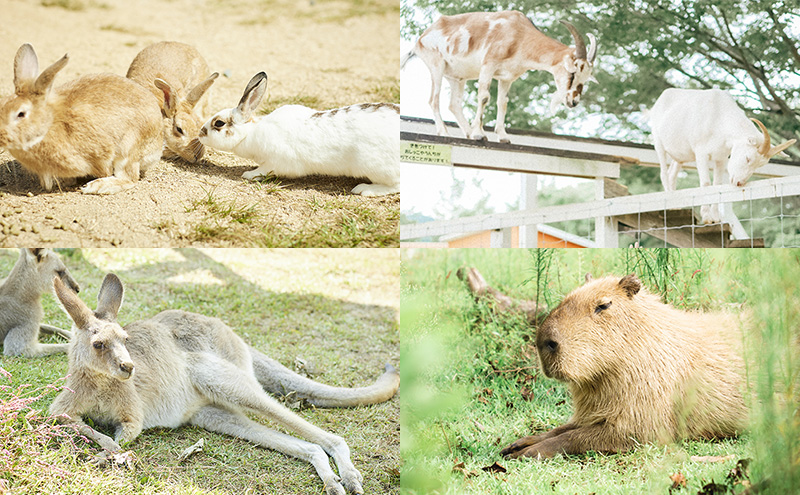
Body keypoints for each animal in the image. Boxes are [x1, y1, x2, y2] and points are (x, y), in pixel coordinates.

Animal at [0, 44, 162, 195]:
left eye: (21, 114)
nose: (1, 136)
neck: (49, 125)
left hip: (128, 148)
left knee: (129, 178)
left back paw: (98, 186)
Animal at [198, 72, 398, 197]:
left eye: (218, 123)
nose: (200, 133)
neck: (251, 133)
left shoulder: (277, 162)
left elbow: (264, 170)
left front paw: (249, 174)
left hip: (375, 167)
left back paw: (364, 189)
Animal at [404, 10, 596, 143]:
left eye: (586, 77)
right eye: (573, 72)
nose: (573, 101)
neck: (519, 34)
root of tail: (420, 40)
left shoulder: (506, 78)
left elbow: (502, 103)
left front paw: (503, 136)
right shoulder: (488, 66)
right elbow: (484, 97)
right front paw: (479, 134)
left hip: (457, 78)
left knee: (454, 104)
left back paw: (467, 132)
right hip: (436, 66)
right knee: (433, 100)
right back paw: (445, 132)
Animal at [652, 88, 796, 224]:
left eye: (759, 166)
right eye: (747, 158)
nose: (739, 182)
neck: (718, 117)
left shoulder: (721, 158)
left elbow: (717, 184)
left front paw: (716, 218)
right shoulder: (701, 153)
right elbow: (706, 183)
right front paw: (706, 217)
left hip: (680, 155)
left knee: (672, 174)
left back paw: (674, 205)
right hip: (658, 141)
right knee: (663, 172)